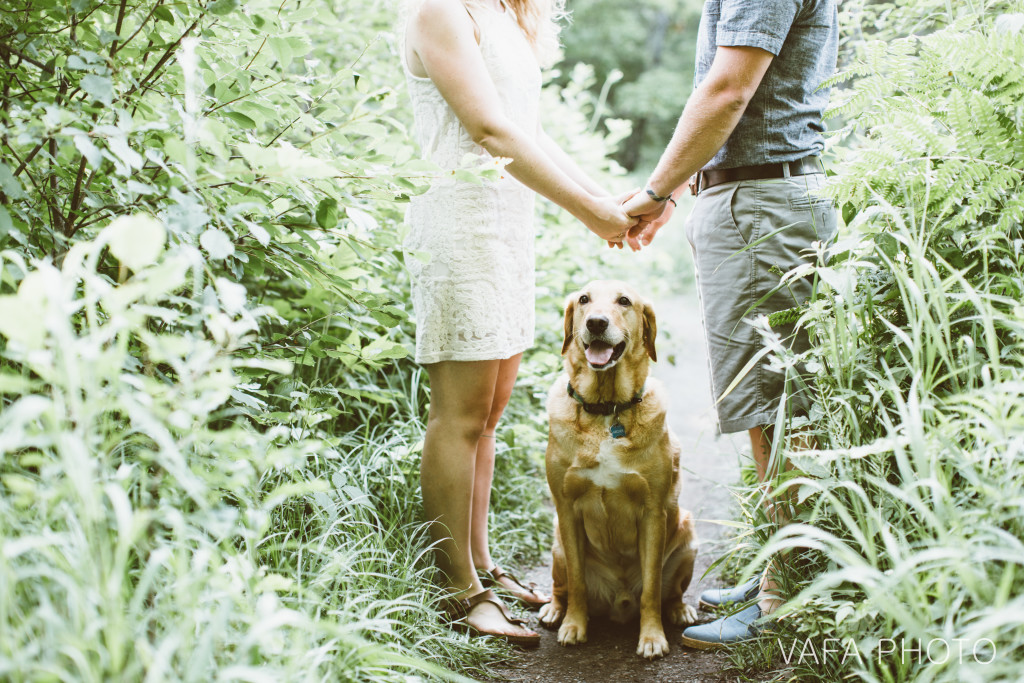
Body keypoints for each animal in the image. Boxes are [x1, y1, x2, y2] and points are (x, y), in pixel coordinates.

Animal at [536, 280, 696, 659]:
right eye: (584, 300)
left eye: (624, 301)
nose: (596, 322)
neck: (606, 410)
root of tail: (617, 603)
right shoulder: (567, 509)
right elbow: (577, 582)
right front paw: (574, 626)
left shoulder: (653, 513)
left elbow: (651, 589)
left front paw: (652, 637)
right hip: (557, 547)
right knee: (562, 586)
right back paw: (554, 610)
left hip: (688, 539)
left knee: (670, 592)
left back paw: (679, 610)